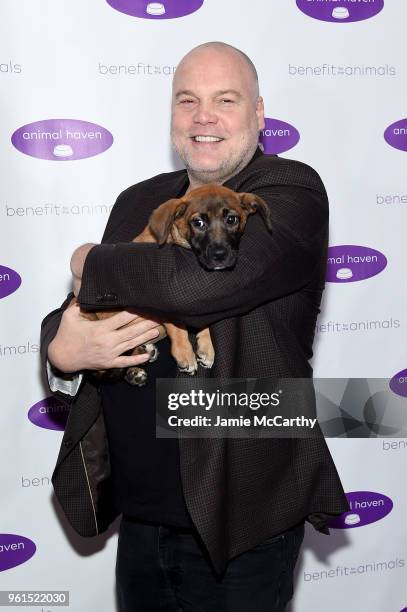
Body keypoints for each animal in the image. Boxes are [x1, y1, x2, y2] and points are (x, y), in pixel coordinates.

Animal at [76, 184, 274, 388]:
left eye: (232, 219)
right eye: (198, 223)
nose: (220, 255)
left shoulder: (196, 304)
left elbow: (203, 319)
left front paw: (206, 347)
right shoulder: (162, 300)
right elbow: (177, 326)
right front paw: (185, 354)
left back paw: (138, 365)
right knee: (101, 369)